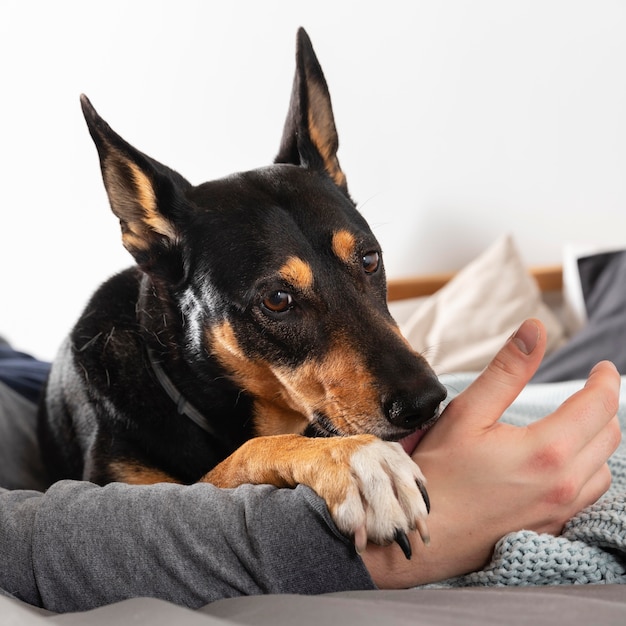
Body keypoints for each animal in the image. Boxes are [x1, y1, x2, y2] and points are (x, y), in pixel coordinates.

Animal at [37, 28, 444, 556]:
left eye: (370, 259)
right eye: (277, 300)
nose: (426, 403)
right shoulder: (121, 493)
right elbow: (243, 455)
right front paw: (358, 462)